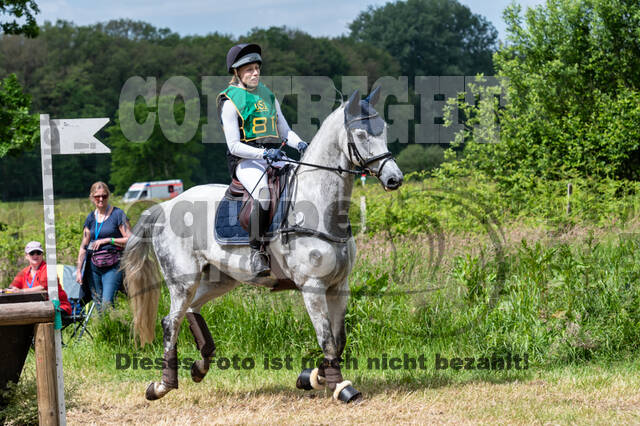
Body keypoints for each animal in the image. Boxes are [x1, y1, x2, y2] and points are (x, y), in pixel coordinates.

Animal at [122, 87, 404, 403]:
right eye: (362, 134)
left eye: (384, 130)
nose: (395, 178)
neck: (321, 206)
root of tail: (164, 207)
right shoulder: (313, 287)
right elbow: (327, 339)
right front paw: (342, 388)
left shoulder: (338, 285)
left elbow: (339, 339)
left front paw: (312, 377)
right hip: (183, 280)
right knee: (171, 322)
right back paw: (162, 386)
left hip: (220, 278)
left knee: (191, 311)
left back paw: (199, 366)